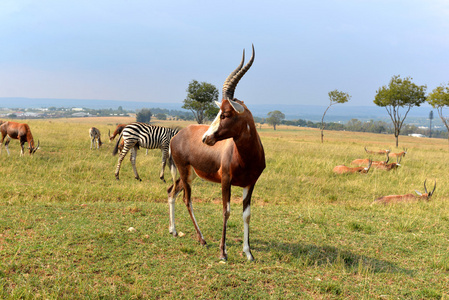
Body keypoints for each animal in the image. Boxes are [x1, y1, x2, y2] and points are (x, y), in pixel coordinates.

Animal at [166, 44, 264, 260]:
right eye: (220, 112)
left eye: (226, 114)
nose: (206, 139)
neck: (245, 157)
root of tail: (177, 136)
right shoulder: (226, 181)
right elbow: (226, 211)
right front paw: (223, 253)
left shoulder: (250, 184)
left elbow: (247, 214)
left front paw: (248, 253)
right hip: (184, 172)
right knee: (187, 199)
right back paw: (201, 239)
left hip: (190, 175)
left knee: (171, 192)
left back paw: (174, 231)